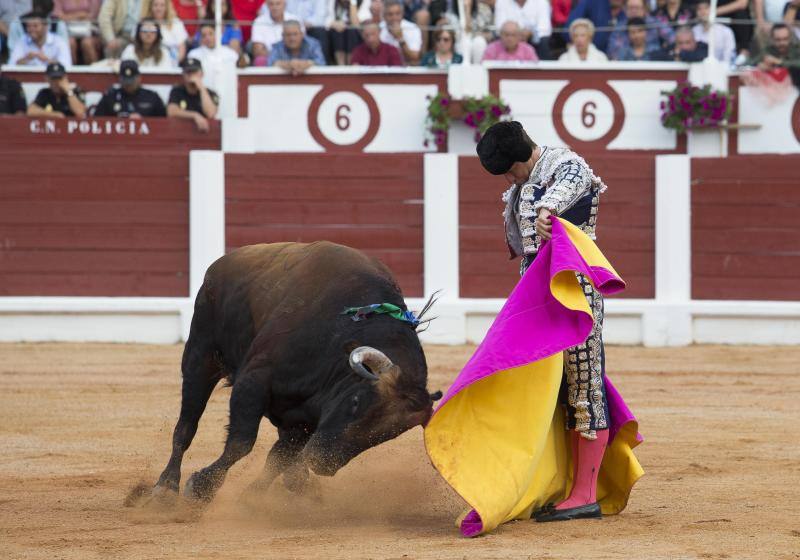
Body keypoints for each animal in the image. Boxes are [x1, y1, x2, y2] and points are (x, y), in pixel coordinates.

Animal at [150, 242, 438, 504]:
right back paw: (165, 488)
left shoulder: (306, 422)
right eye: (356, 401)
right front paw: (201, 487)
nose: (322, 462)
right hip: (200, 356)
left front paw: (252, 498)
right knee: (186, 426)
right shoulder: (253, 380)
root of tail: (222, 263)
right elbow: (241, 441)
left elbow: (277, 459)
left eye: (388, 435)